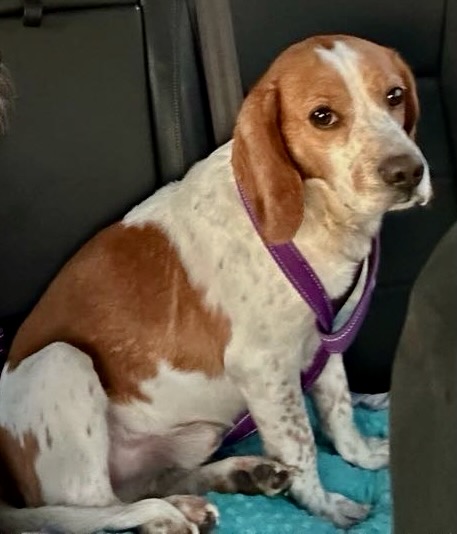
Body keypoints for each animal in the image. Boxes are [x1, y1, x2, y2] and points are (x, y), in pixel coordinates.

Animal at [0, 34, 432, 533]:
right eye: (322, 116)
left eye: (394, 95)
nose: (407, 172)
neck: (313, 219)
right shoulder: (264, 368)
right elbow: (302, 445)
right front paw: (325, 507)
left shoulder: (324, 340)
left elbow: (339, 410)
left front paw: (360, 454)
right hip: (63, 362)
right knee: (98, 509)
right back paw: (169, 515)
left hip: (194, 436)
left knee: (145, 487)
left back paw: (239, 475)